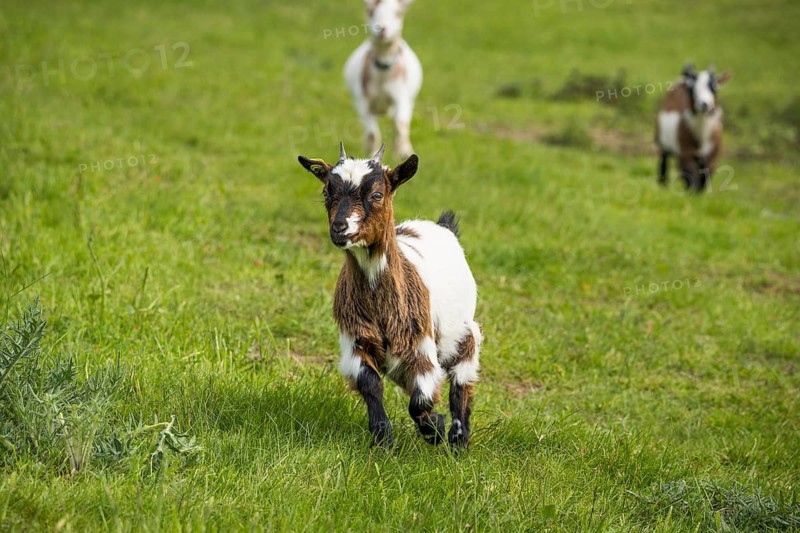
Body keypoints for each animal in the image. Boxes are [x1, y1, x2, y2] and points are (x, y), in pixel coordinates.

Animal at [298, 143, 481, 448]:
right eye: (326, 192)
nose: (339, 227)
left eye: (377, 194)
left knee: (462, 376)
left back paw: (458, 438)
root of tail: (442, 227)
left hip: (460, 330)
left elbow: (419, 402)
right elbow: (371, 385)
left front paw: (435, 428)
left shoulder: (419, 345)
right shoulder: (357, 340)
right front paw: (383, 437)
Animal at [344, 0, 423, 159]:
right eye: (370, 11)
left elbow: (400, 125)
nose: (381, 29)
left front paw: (401, 154)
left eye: (398, 13)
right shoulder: (363, 102)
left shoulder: (401, 96)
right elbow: (372, 134)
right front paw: (371, 155)